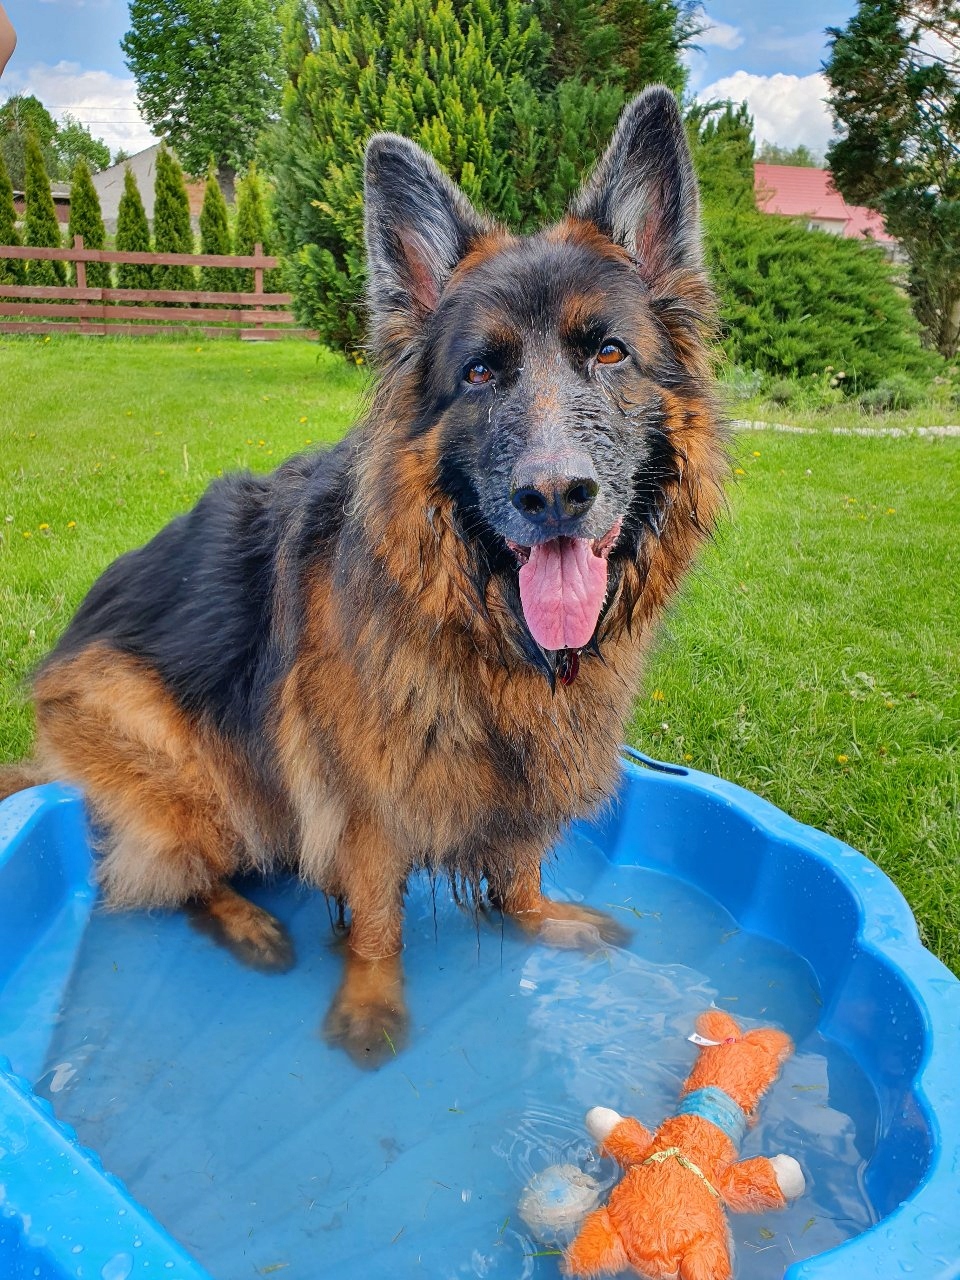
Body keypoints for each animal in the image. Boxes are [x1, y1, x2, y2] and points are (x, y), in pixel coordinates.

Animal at [1, 86, 725, 1066]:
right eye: (481, 371)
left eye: (609, 353)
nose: (555, 496)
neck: (472, 617)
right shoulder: (362, 798)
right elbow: (379, 915)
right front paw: (373, 1002)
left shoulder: (525, 777)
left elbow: (518, 865)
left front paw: (539, 918)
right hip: (197, 785)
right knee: (165, 874)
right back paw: (248, 924)